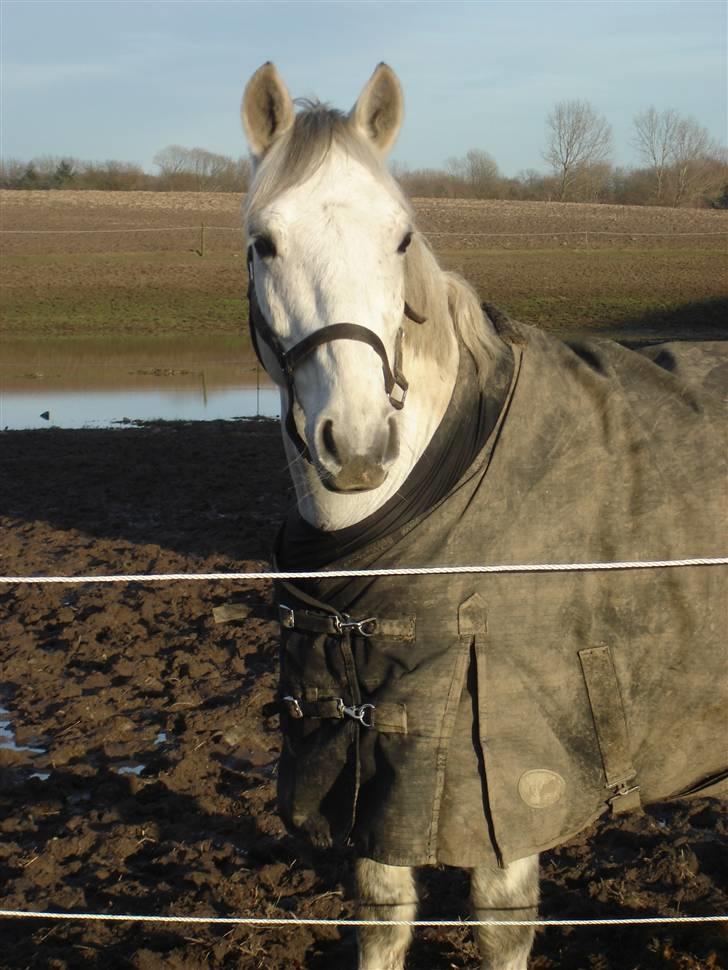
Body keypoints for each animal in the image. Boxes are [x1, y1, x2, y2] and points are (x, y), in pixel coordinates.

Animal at [240, 62, 728, 968]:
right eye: (265, 242)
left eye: (401, 238)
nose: (357, 443)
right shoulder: (379, 788)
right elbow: (382, 915)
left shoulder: (506, 786)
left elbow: (501, 928)